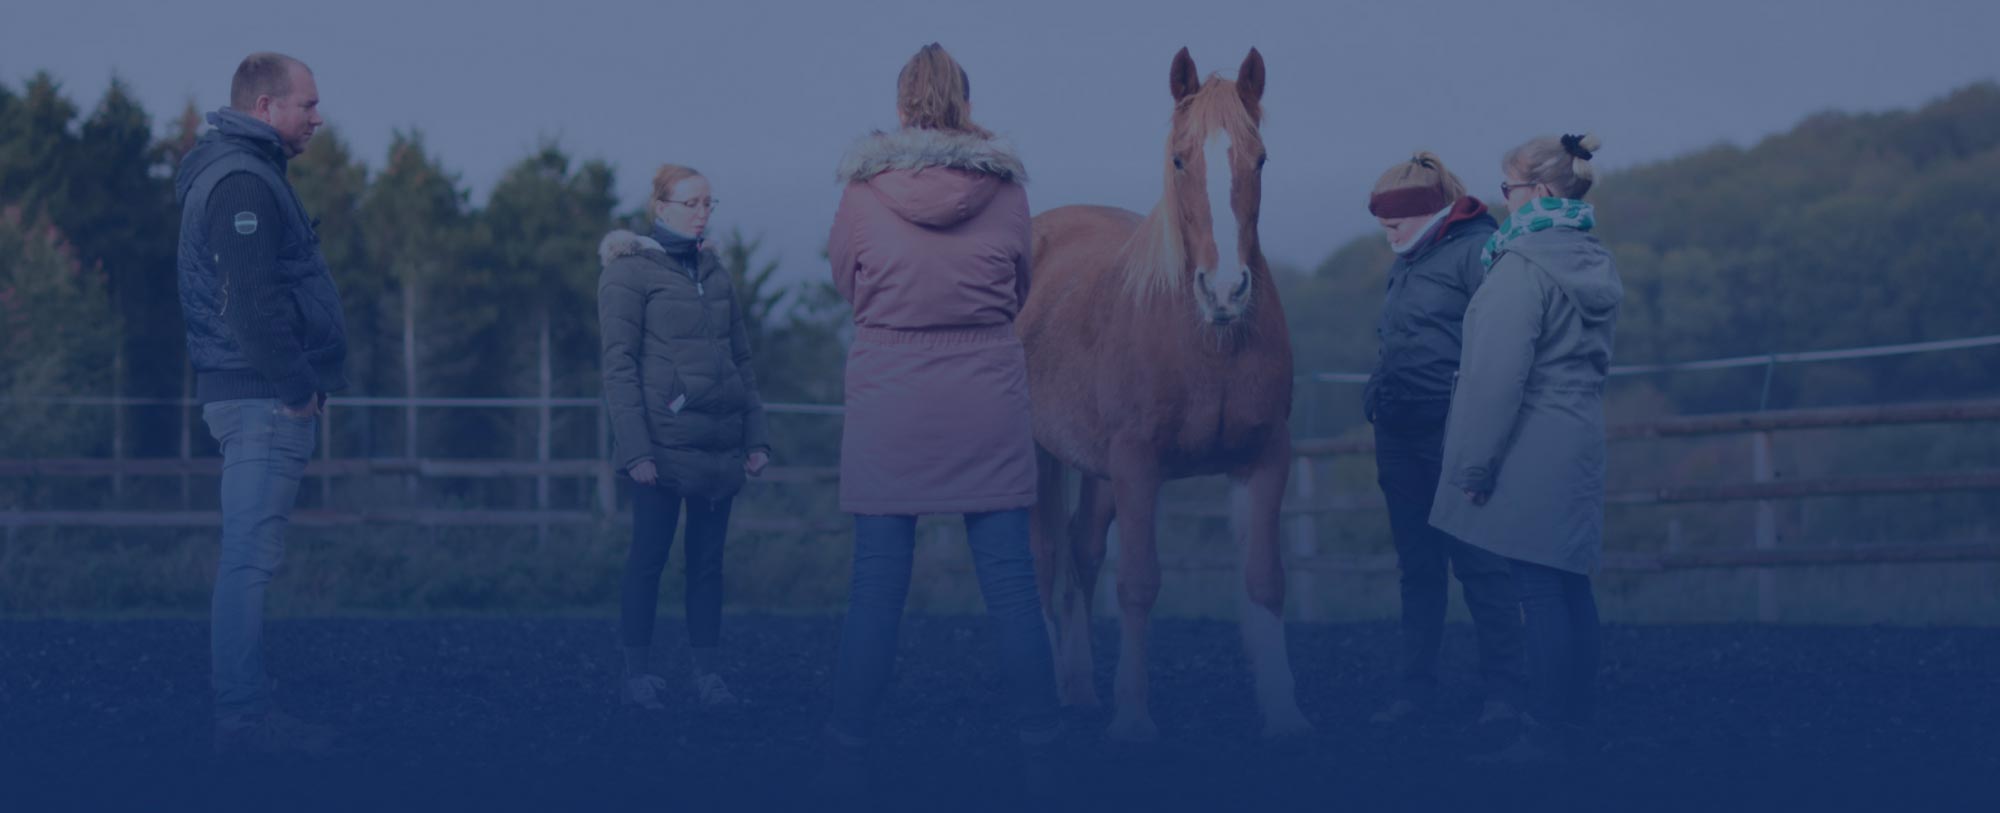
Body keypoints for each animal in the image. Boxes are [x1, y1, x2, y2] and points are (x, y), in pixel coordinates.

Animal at [1016, 47, 1312, 740]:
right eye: (1180, 158)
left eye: (1260, 159)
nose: (1225, 289)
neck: (1207, 342)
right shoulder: (1137, 464)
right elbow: (1140, 584)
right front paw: (1133, 718)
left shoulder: (1265, 458)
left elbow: (1265, 581)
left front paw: (1283, 711)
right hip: (1041, 454)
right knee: (1045, 557)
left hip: (1095, 470)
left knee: (1080, 550)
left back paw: (1079, 687)